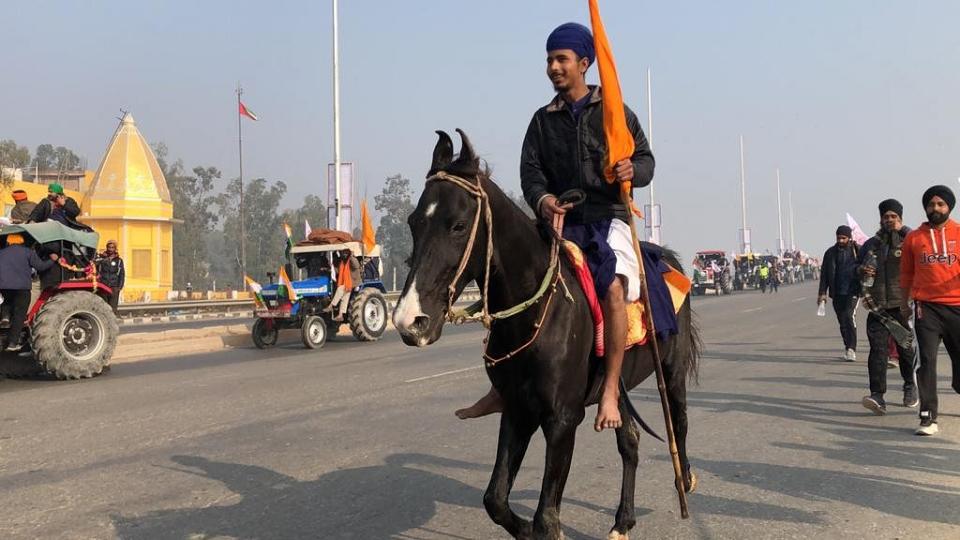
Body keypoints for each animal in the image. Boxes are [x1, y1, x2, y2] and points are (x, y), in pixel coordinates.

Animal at [394, 131, 700, 540]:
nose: (409, 321)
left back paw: (685, 481)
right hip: (616, 389)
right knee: (630, 442)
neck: (537, 312)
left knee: (678, 422)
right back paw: (623, 520)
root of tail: (670, 259)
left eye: (457, 225)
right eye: (413, 222)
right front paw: (522, 528)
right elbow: (495, 500)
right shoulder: (517, 409)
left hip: (672, 369)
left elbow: (546, 517)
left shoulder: (562, 417)